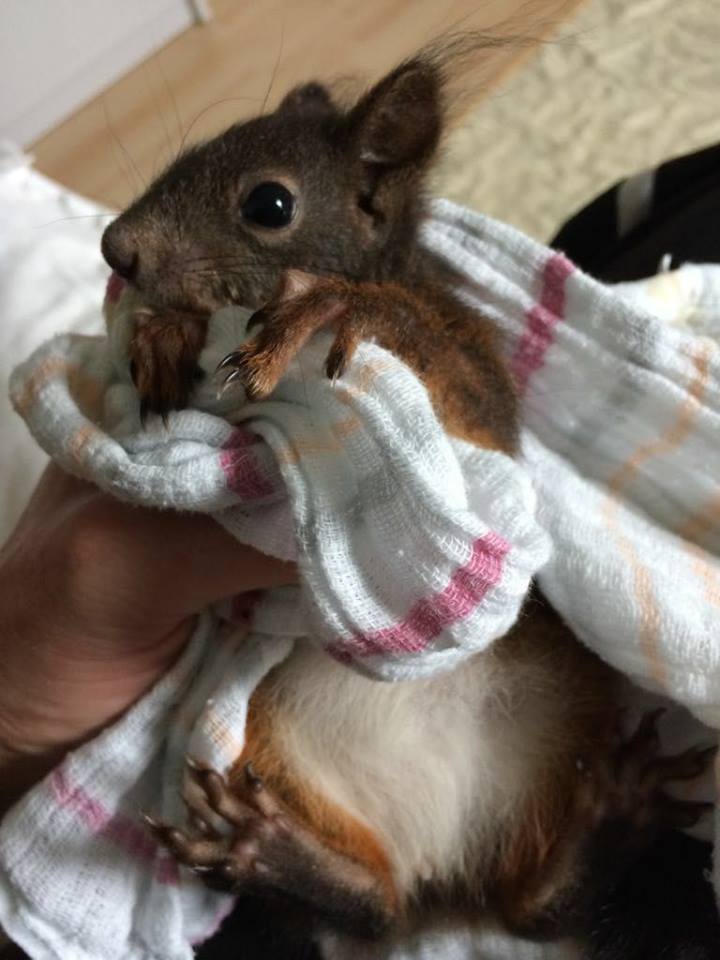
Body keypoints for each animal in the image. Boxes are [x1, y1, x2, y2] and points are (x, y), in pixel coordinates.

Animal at [101, 41, 715, 957]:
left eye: (269, 203)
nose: (116, 247)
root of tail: (443, 873)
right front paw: (160, 335)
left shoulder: (483, 404)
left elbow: (429, 360)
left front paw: (335, 303)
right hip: (268, 746)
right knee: (385, 908)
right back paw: (274, 853)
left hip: (562, 724)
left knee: (535, 908)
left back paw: (614, 810)